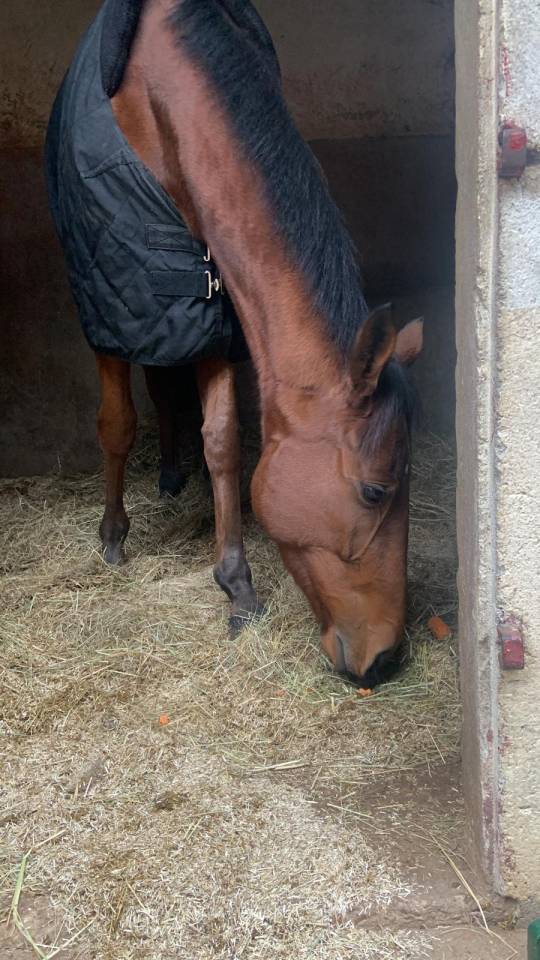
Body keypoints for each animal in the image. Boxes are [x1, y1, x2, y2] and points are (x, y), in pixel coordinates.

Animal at [45, 0, 423, 688]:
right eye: (376, 491)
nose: (385, 657)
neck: (160, 94)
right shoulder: (110, 294)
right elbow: (116, 423)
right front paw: (113, 535)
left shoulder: (213, 306)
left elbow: (221, 441)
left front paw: (237, 584)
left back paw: (174, 473)